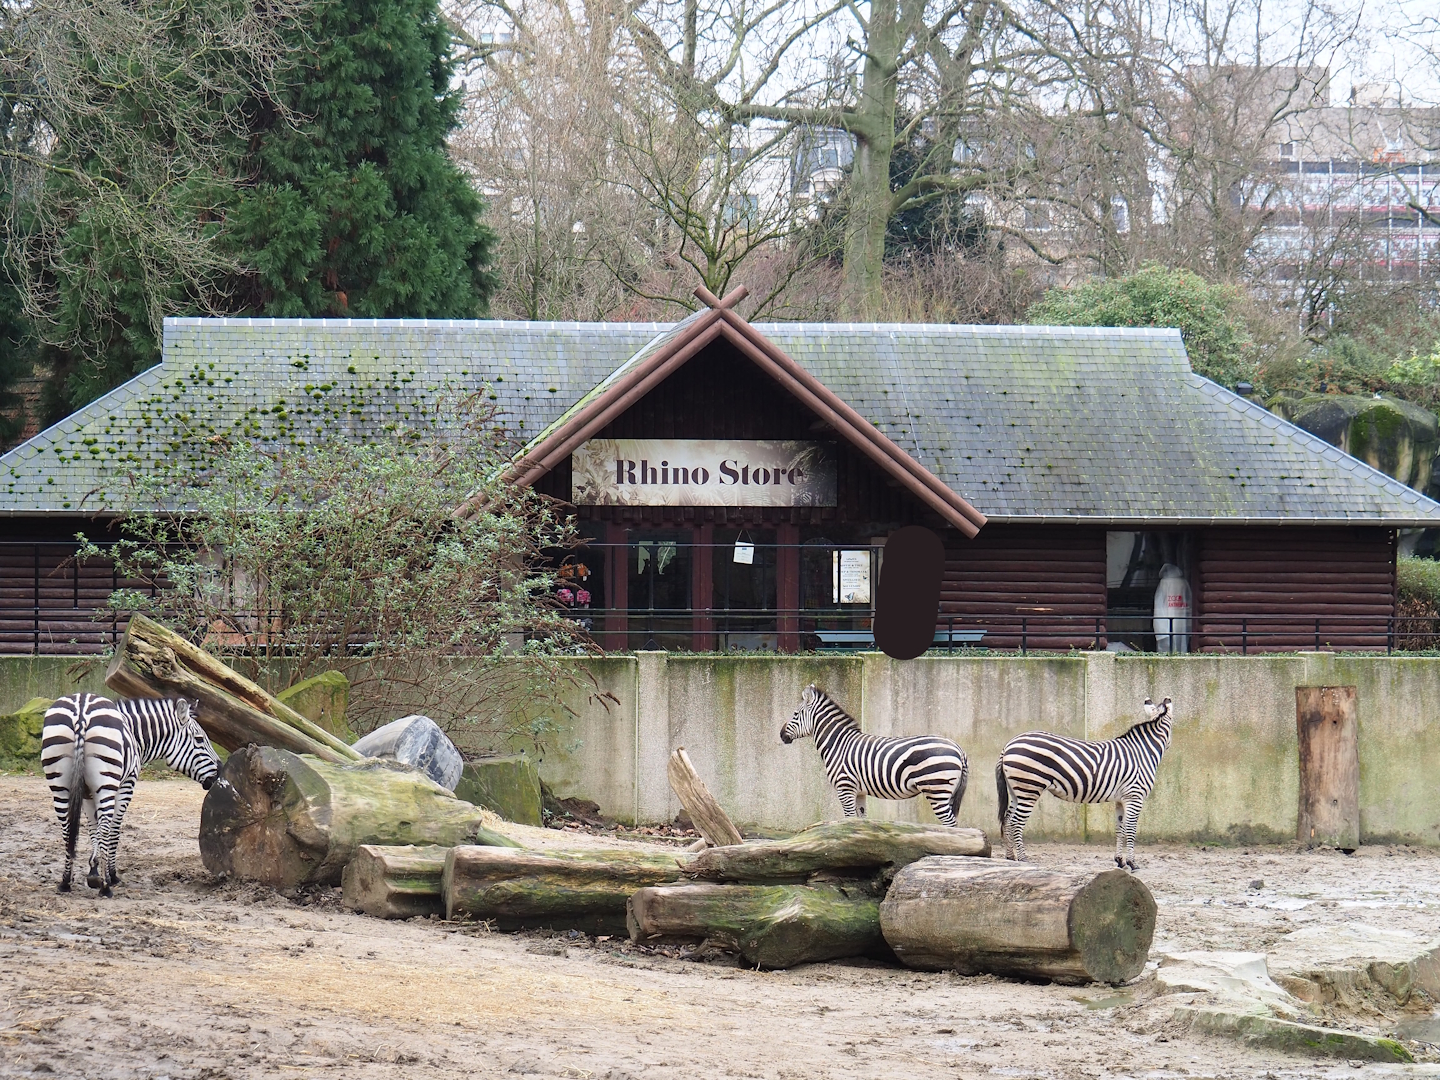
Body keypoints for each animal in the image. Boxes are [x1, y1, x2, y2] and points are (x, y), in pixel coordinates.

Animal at [41, 693, 218, 897]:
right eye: (199, 739)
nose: (219, 773)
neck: (135, 734)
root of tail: (81, 710)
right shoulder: (127, 783)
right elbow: (113, 829)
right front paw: (110, 874)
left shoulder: (87, 793)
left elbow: (93, 828)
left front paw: (93, 872)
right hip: (106, 781)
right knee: (105, 826)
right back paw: (106, 888)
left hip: (59, 783)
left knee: (67, 828)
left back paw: (65, 882)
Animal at [780, 684, 970, 826]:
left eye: (795, 714)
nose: (781, 735)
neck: (838, 744)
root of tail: (958, 749)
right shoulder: (859, 792)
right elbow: (861, 821)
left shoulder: (845, 788)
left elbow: (849, 820)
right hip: (948, 792)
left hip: (937, 789)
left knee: (950, 824)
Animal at [996, 696, 1173, 870]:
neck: (1143, 751)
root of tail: (1009, 745)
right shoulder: (1135, 796)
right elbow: (1130, 829)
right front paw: (1132, 863)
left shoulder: (1121, 799)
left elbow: (1120, 829)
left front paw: (1120, 861)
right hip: (1030, 788)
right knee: (1016, 823)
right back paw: (1023, 859)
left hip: (1017, 790)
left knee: (1007, 820)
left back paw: (1010, 858)